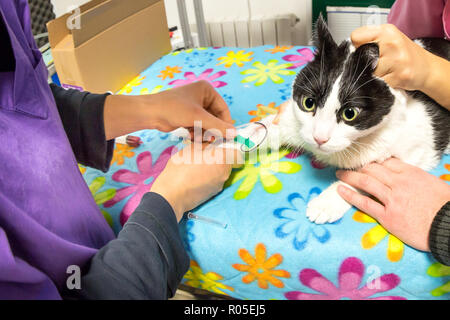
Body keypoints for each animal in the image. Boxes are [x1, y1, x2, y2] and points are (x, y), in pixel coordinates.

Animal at [258, 15, 448, 225]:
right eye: (308, 103)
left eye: (350, 113)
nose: (319, 138)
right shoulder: (296, 125)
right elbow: (267, 128)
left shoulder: (415, 148)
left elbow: (366, 176)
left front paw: (328, 201)